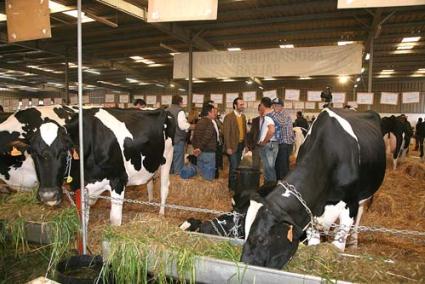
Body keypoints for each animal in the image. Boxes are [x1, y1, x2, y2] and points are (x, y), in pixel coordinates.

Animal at [19, 107, 174, 225]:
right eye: (32, 152)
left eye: (64, 150)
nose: (48, 195)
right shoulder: (81, 188)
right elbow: (83, 220)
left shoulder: (118, 180)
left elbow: (115, 220)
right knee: (149, 182)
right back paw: (150, 201)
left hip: (167, 157)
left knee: (164, 188)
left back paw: (161, 213)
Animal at [240, 108, 386, 268]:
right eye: (245, 232)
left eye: (261, 239)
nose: (243, 264)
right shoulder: (310, 211)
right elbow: (314, 243)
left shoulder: (350, 205)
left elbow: (339, 244)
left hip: (364, 196)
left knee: (359, 216)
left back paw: (353, 242)